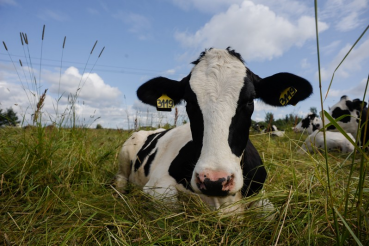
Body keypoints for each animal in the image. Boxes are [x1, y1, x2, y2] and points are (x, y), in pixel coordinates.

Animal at [115, 47, 310, 211]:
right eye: (189, 101)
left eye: (249, 100)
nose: (214, 181)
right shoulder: (156, 186)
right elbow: (171, 202)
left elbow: (269, 212)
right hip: (126, 150)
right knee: (121, 177)